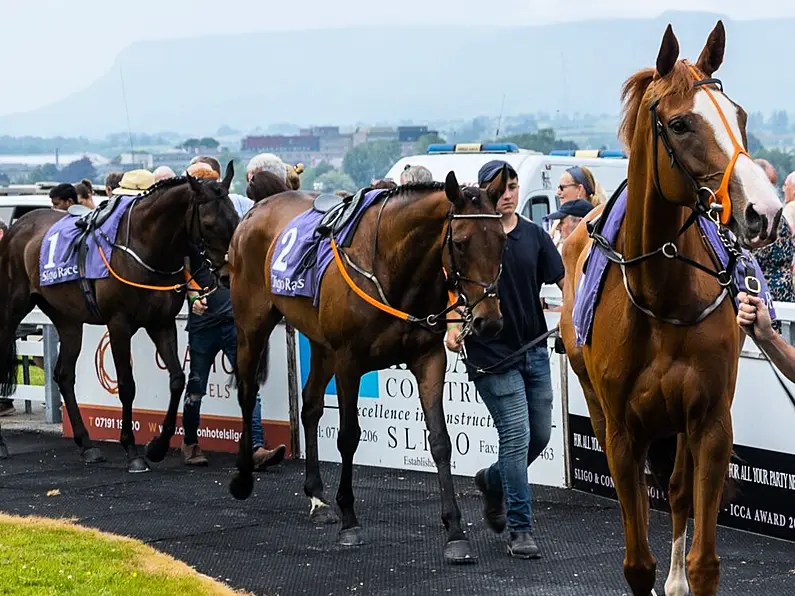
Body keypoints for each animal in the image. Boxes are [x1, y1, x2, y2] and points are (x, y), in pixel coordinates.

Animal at [0, 163, 239, 470]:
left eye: (236, 217)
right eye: (208, 224)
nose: (227, 275)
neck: (144, 247)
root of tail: (16, 228)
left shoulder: (161, 323)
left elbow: (177, 379)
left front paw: (158, 446)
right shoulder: (119, 324)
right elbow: (127, 385)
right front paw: (132, 450)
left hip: (67, 318)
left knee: (64, 374)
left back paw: (87, 445)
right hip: (11, 310)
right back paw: (3, 444)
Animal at [227, 169, 510, 564]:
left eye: (502, 239)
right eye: (461, 242)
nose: (490, 321)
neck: (392, 269)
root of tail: (255, 211)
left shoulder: (428, 358)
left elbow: (440, 440)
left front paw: (455, 531)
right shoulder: (349, 361)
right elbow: (348, 437)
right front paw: (350, 520)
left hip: (320, 343)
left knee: (311, 406)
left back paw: (317, 497)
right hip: (251, 324)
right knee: (248, 392)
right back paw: (243, 477)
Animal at [560, 19, 784, 596]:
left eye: (740, 116)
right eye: (681, 124)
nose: (766, 212)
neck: (660, 297)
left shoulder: (709, 421)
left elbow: (703, 556)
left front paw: (687, 575)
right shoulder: (622, 431)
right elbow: (637, 561)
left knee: (680, 492)